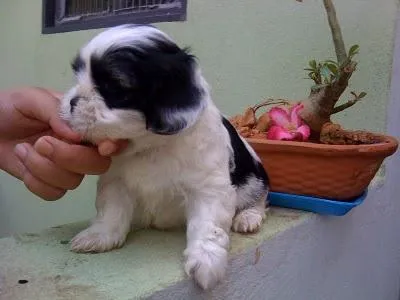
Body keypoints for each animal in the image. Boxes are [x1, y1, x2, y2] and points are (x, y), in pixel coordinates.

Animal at [61, 24, 268, 290]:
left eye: (114, 86)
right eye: (79, 74)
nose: (71, 102)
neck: (151, 145)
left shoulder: (209, 187)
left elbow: (208, 224)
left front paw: (206, 261)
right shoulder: (115, 180)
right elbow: (111, 209)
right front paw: (100, 236)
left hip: (254, 179)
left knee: (259, 200)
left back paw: (247, 217)